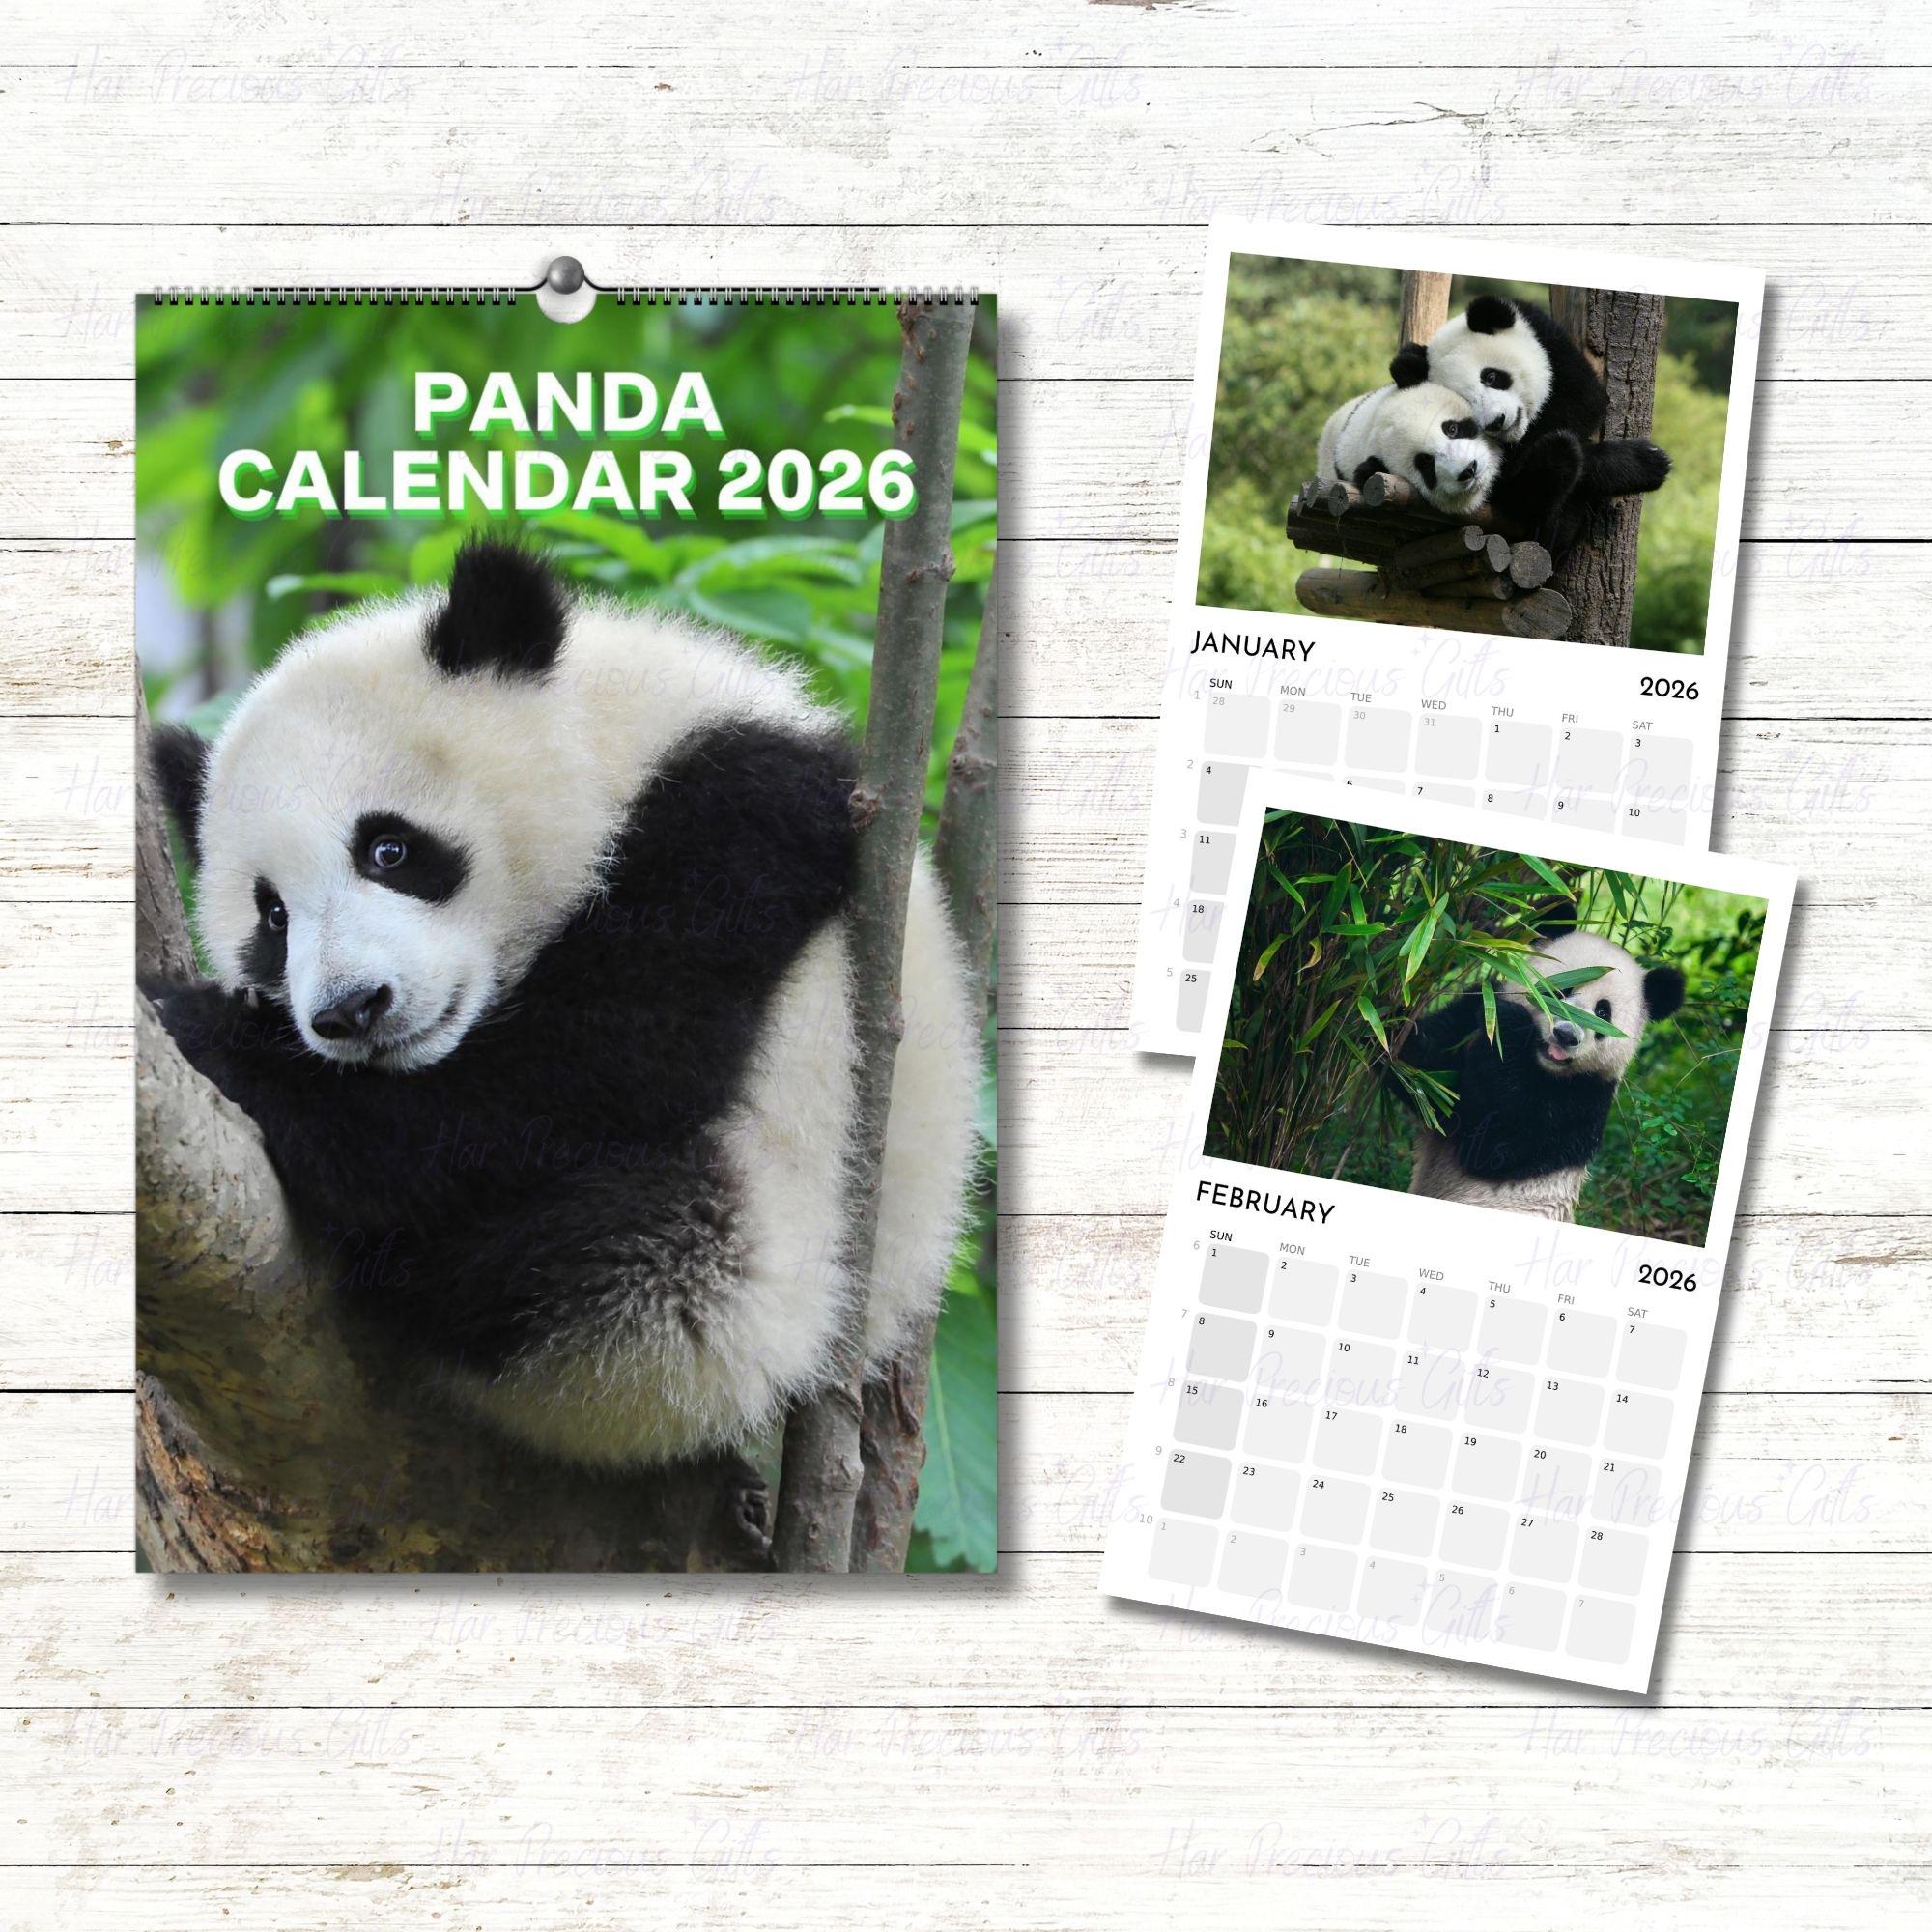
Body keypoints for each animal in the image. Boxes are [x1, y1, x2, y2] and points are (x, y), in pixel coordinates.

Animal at [143, 539, 980, 1468]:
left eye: (389, 848)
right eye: (273, 918)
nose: (351, 1011)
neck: (611, 737)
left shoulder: (745, 809)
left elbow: (583, 1072)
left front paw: (201, 1026)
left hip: (741, 1267)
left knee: (603, 1236)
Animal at [1390, 294, 1672, 556]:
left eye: (1490, 376)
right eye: (1467, 402)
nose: (1496, 422)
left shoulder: (1549, 341)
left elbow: (1584, 400)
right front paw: (1645, 463)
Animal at [1397, 921, 1684, 1222]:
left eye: (1603, 1012)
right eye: (1560, 990)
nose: (1566, 1035)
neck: (1538, 1066)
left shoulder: (1584, 1102)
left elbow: (1492, 1148)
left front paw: (1510, 1021)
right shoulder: (1470, 1028)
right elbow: (1428, 1080)